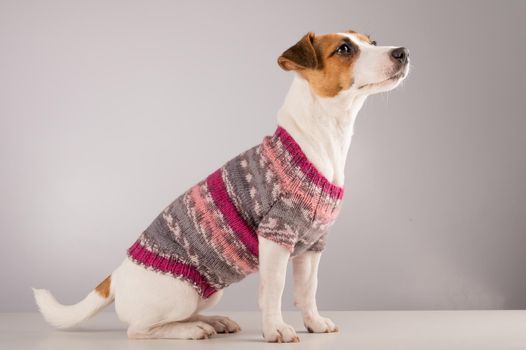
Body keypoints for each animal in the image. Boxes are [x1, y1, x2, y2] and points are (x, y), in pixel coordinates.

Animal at [34, 28, 412, 342]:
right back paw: (190, 330)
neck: (319, 140)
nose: (403, 52)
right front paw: (276, 329)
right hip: (181, 292)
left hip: (209, 291)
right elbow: (273, 290)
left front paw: (314, 323)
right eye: (345, 48)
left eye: (373, 42)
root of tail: (115, 276)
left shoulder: (312, 246)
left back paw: (213, 322)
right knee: (140, 329)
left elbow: (308, 290)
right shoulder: (276, 236)